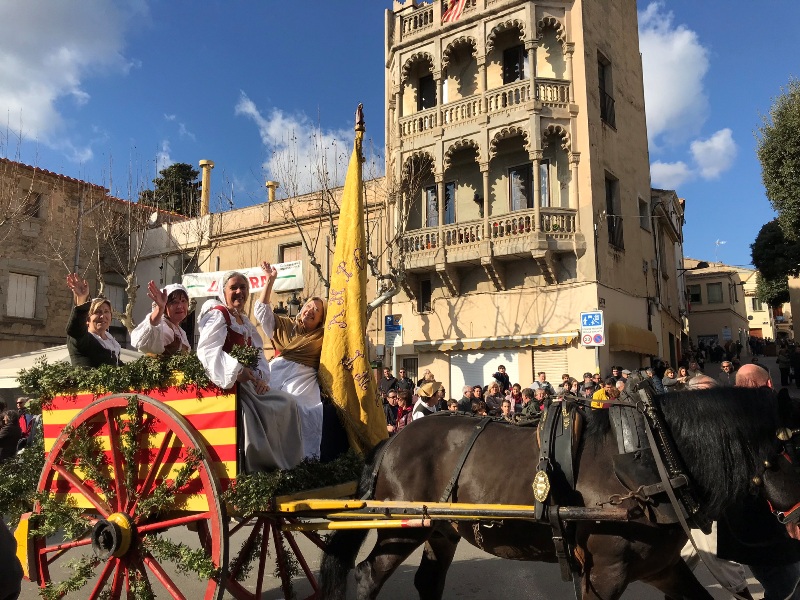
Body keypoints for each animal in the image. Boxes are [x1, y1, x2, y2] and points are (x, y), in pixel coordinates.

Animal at [320, 386, 800, 600]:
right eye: (794, 446)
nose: (795, 528)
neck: (657, 456)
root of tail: (389, 442)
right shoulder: (604, 574)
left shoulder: (662, 567)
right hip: (402, 528)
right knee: (366, 577)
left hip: (442, 530)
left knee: (427, 581)